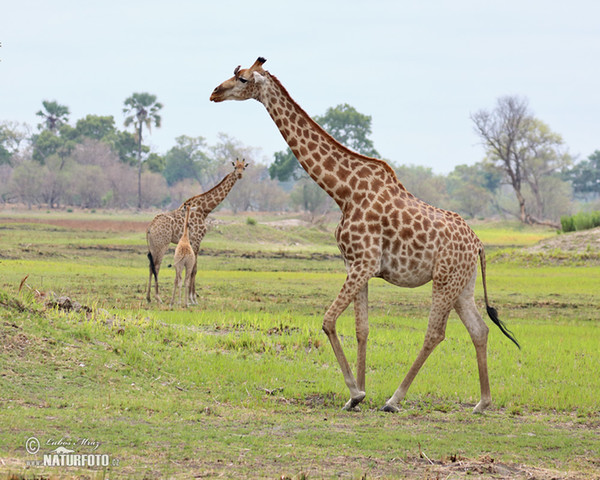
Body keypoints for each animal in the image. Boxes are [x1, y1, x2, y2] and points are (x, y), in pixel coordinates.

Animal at [146, 161, 247, 304]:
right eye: (235, 167)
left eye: (243, 167)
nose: (239, 175)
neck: (205, 209)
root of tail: (150, 227)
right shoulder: (197, 239)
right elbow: (194, 269)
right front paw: (192, 298)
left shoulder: (195, 241)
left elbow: (194, 268)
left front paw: (192, 296)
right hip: (162, 244)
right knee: (156, 265)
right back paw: (158, 297)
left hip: (153, 245)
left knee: (151, 266)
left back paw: (148, 297)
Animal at [211, 57, 520, 412]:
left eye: (243, 78)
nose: (214, 92)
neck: (342, 191)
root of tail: (479, 244)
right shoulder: (356, 264)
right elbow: (362, 328)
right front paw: (355, 395)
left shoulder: (364, 263)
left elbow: (329, 320)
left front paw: (356, 392)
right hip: (463, 284)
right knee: (479, 329)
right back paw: (482, 402)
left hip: (445, 280)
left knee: (435, 333)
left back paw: (395, 399)